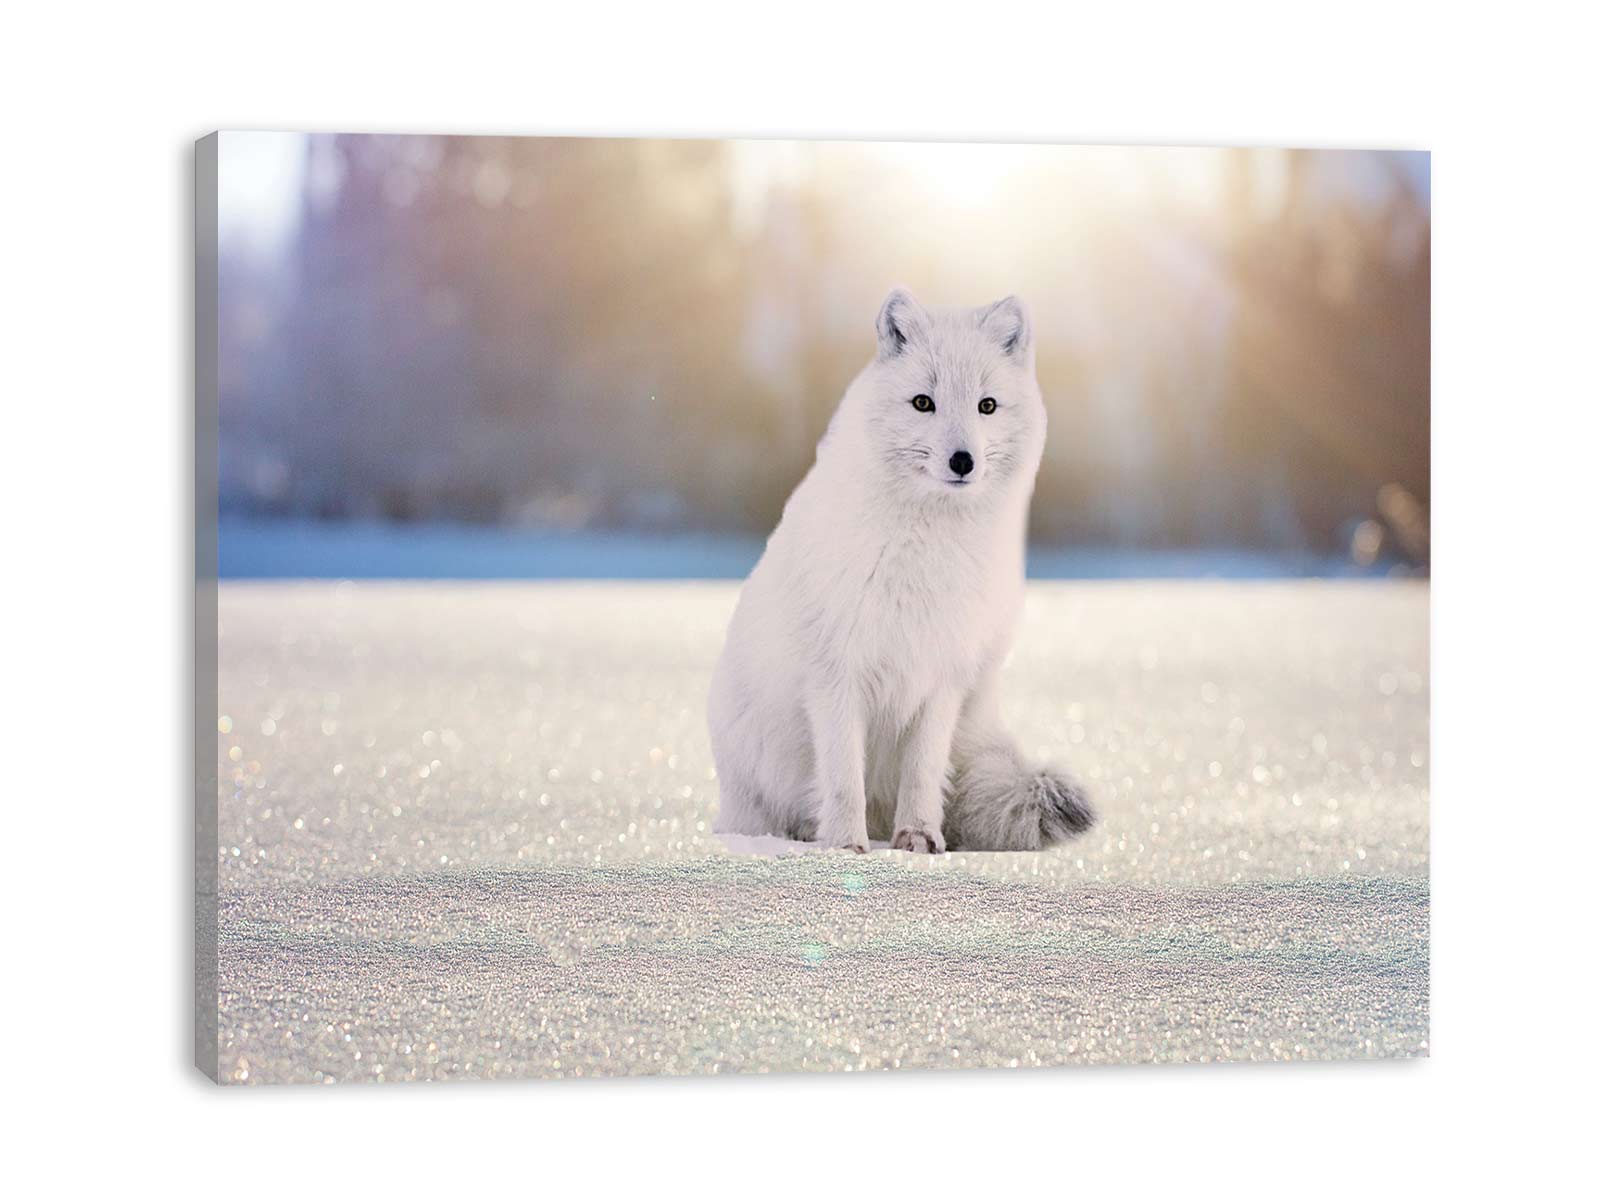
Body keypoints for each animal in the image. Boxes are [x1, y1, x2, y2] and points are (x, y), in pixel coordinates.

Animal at [708, 287, 1095, 853]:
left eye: (987, 405)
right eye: (923, 402)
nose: (963, 461)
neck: (923, 553)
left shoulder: (941, 677)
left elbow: (923, 770)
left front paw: (918, 838)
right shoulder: (836, 673)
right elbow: (842, 774)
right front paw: (846, 845)